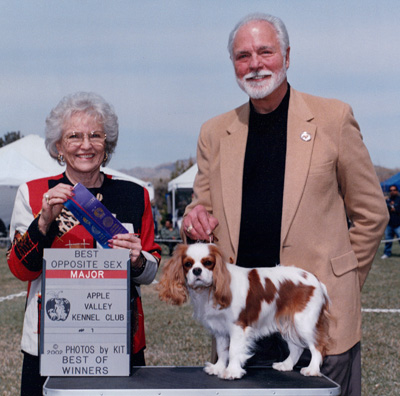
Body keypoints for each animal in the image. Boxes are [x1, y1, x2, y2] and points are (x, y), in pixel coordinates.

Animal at [158, 243, 330, 378]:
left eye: (208, 263)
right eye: (188, 264)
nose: (197, 271)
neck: (210, 290)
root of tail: (316, 280)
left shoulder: (238, 326)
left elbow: (234, 350)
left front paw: (231, 372)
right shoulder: (220, 328)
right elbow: (222, 350)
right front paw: (218, 368)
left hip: (304, 322)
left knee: (317, 346)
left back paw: (312, 369)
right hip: (287, 322)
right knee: (297, 347)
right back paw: (286, 365)